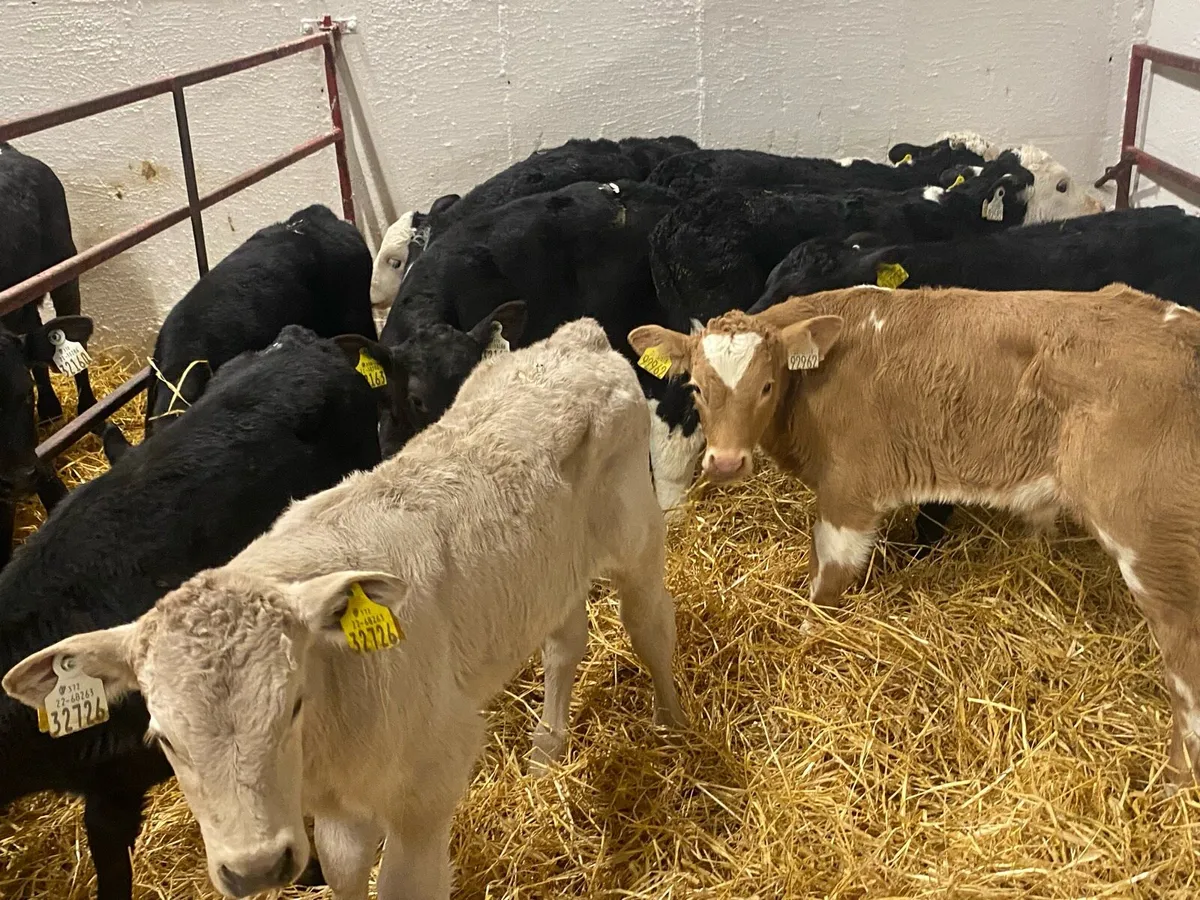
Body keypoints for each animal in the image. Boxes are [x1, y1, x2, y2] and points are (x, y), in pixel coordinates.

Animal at [628, 283, 1200, 790]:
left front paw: (811, 640)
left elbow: (826, 587)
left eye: (766, 385)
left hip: (1155, 545)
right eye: (697, 388)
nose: (725, 463)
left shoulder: (850, 494)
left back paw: (1172, 785)